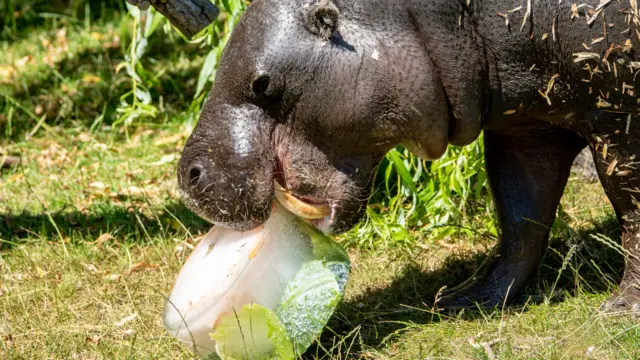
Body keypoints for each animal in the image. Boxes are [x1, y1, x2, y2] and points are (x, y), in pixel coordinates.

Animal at [178, 0, 640, 310]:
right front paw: (463, 299)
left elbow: (631, 211)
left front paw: (621, 308)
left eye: (263, 84)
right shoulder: (523, 126)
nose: (187, 175)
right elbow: (521, 216)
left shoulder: (619, 118)